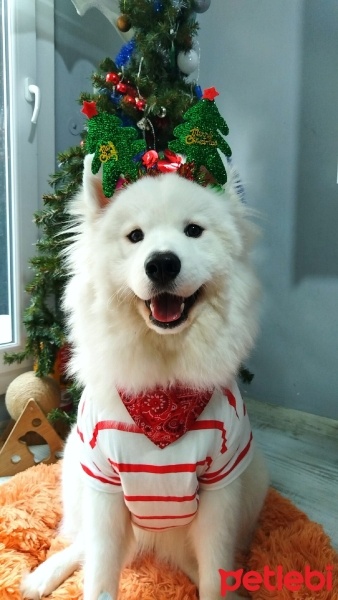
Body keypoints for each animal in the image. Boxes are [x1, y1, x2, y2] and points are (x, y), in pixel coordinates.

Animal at [22, 156, 268, 600]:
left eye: (194, 230)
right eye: (134, 236)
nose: (162, 263)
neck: (162, 393)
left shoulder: (221, 487)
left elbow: (214, 573)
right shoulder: (104, 486)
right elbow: (100, 574)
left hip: (253, 475)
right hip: (76, 469)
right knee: (85, 545)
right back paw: (42, 576)